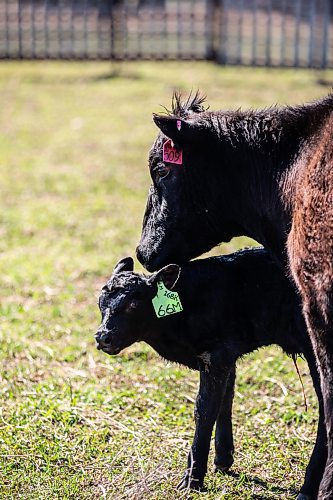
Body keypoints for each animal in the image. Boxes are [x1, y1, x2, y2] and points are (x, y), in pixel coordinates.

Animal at [94, 248, 322, 498]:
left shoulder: (216, 356)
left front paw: (192, 480)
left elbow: (204, 411)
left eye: (133, 304)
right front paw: (223, 459)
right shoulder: (226, 357)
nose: (103, 337)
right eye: (100, 302)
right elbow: (224, 402)